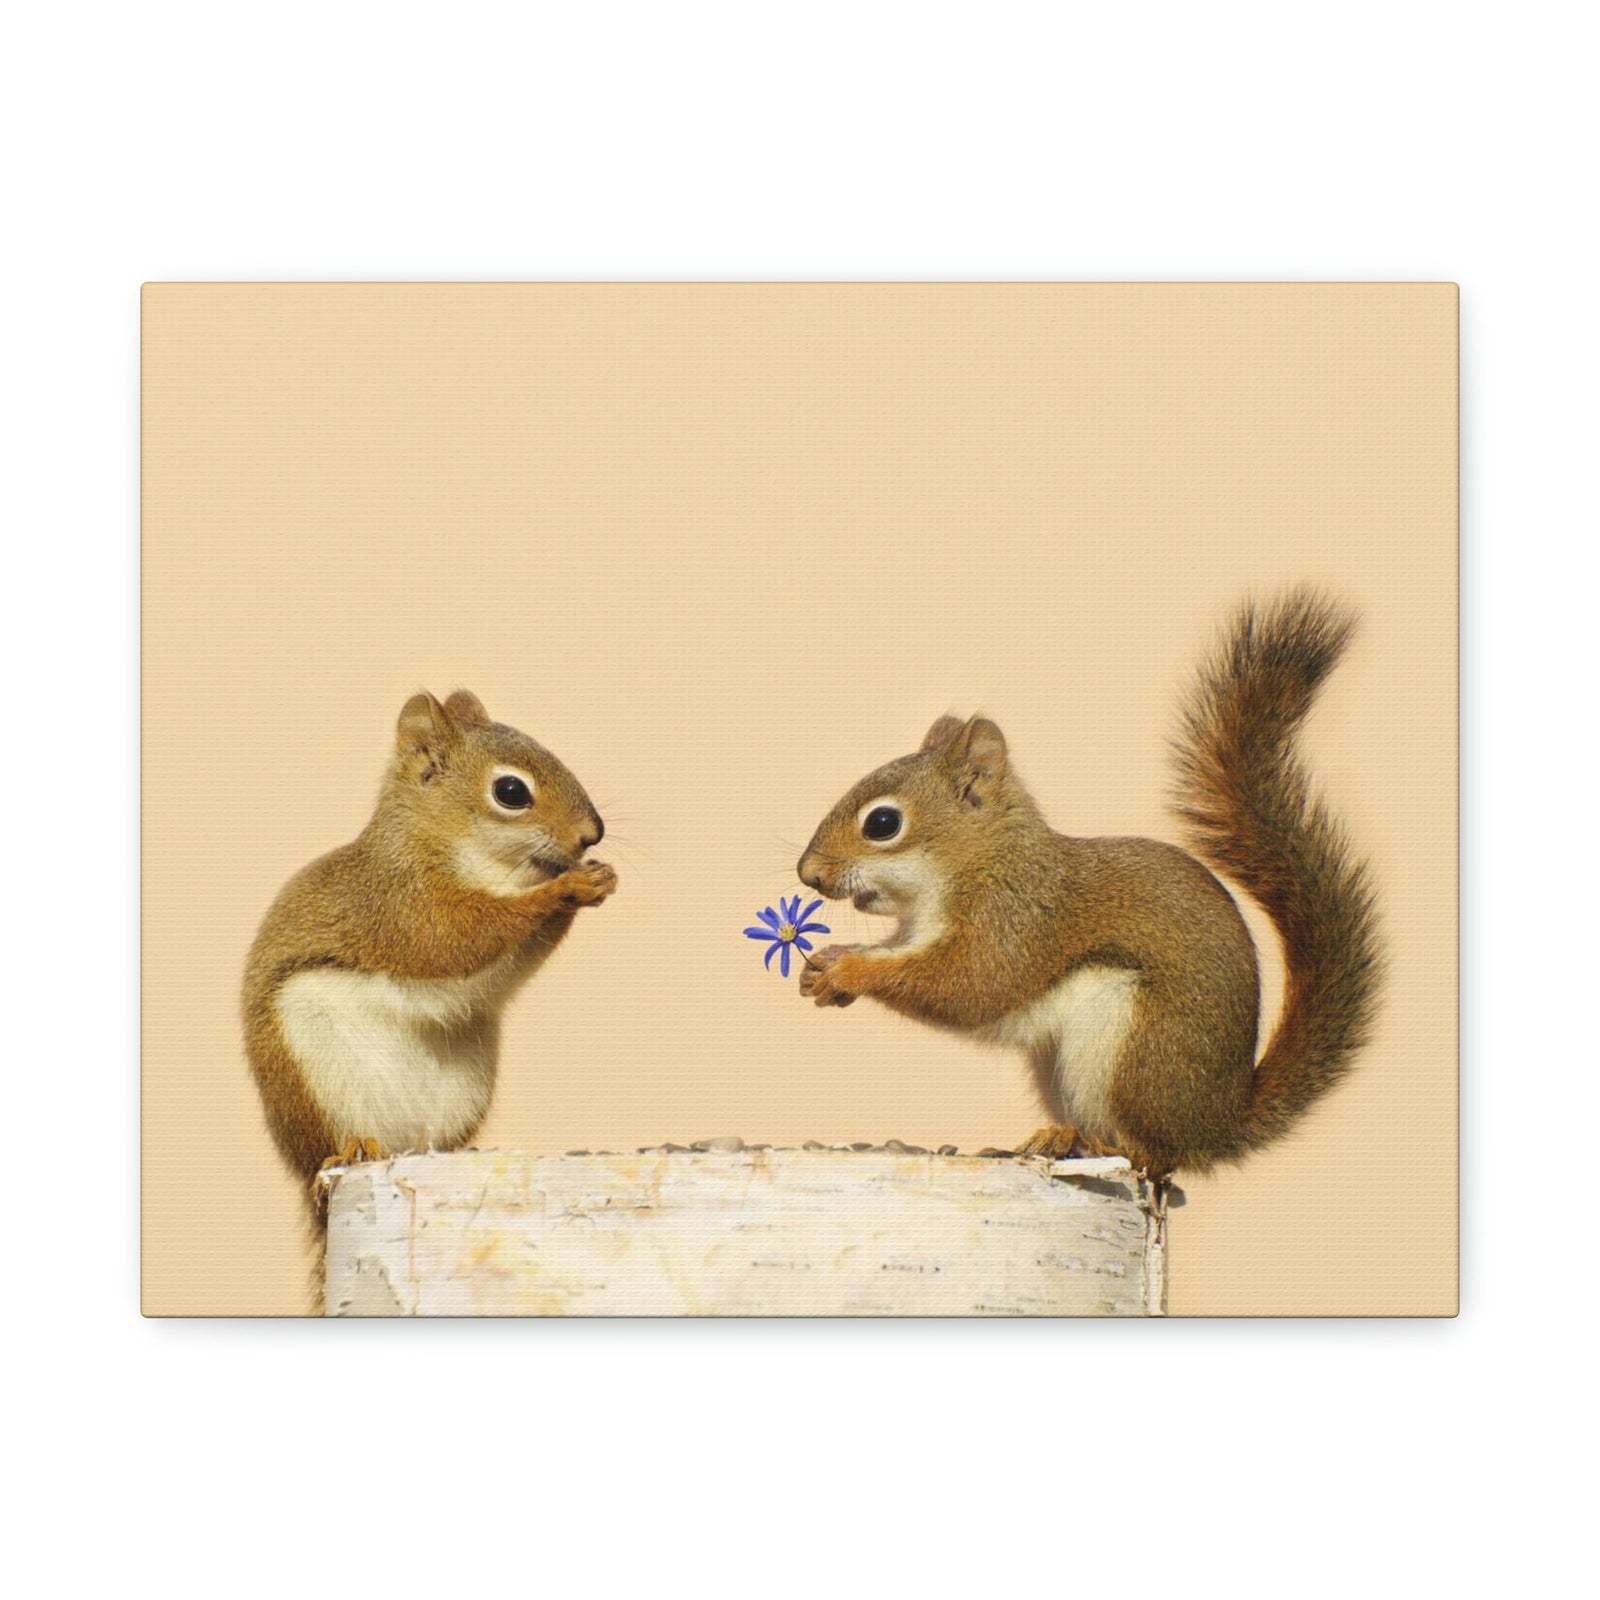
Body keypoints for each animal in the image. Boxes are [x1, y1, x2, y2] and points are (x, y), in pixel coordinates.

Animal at [242, 689, 615, 1207]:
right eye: (511, 792)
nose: (591, 834)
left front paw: (599, 879)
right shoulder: (399, 903)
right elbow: (455, 939)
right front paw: (566, 887)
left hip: (464, 1089)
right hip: (315, 1075)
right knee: (332, 1145)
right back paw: (353, 1149)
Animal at [795, 589, 1382, 1178]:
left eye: (883, 823)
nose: (809, 875)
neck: (977, 862)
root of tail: (1216, 1125)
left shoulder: (1016, 920)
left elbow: (969, 984)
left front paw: (849, 971)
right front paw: (822, 969)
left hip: (1132, 1050)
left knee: (1152, 1155)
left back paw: (1091, 1144)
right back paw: (1058, 1137)